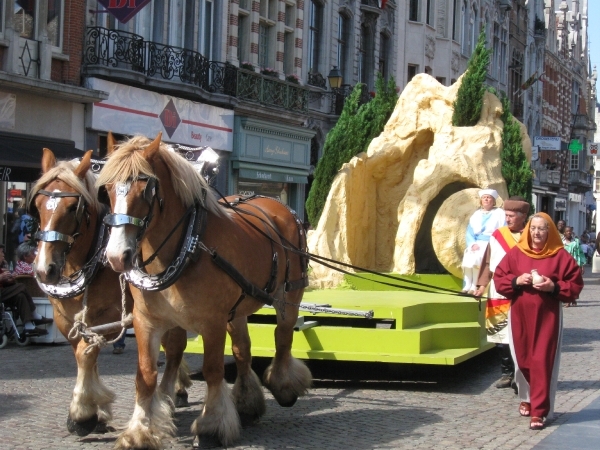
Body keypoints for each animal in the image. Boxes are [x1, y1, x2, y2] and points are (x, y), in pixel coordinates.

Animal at [30, 148, 191, 436]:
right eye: (37, 205)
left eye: (72, 208)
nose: (44, 269)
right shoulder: (65, 318)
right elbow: (83, 353)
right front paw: (97, 409)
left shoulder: (109, 315)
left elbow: (87, 352)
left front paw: (82, 414)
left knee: (175, 347)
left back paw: (172, 394)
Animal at [96, 133, 312, 446]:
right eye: (108, 188)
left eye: (146, 188)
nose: (116, 256)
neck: (187, 246)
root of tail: (277, 206)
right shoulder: (146, 321)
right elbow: (146, 374)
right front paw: (140, 430)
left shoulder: (212, 322)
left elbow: (212, 370)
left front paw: (212, 425)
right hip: (238, 308)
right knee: (243, 350)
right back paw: (248, 403)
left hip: (289, 294)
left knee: (282, 337)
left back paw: (284, 385)